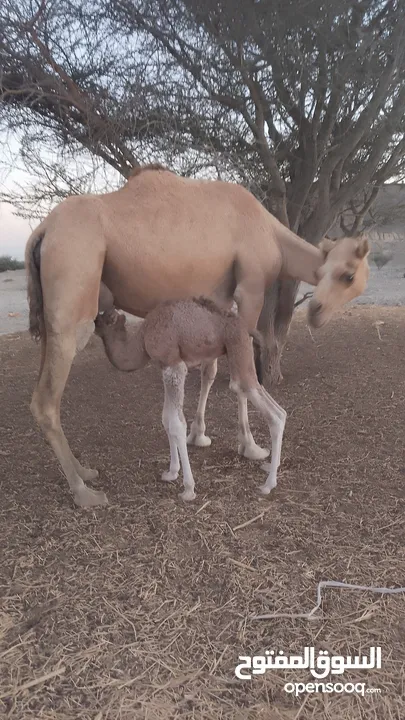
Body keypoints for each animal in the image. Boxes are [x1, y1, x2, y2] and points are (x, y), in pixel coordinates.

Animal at [23, 163, 368, 506]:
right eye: (347, 275)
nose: (317, 313)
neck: (271, 233)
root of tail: (42, 231)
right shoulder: (250, 287)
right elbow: (239, 380)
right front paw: (250, 446)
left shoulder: (219, 298)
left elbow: (210, 371)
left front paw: (198, 434)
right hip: (73, 290)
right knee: (46, 399)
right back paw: (84, 491)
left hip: (51, 316)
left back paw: (84, 470)